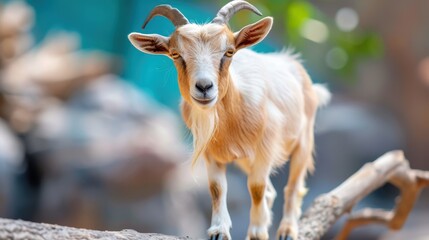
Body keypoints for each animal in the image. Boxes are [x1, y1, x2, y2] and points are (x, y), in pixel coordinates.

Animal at [129, 0, 330, 239]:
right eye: (176, 54)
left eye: (229, 51)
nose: (204, 87)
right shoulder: (211, 151)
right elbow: (217, 188)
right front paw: (219, 231)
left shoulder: (265, 147)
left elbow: (256, 188)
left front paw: (257, 232)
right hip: (246, 160)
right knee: (271, 191)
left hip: (303, 141)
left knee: (293, 186)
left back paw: (287, 230)